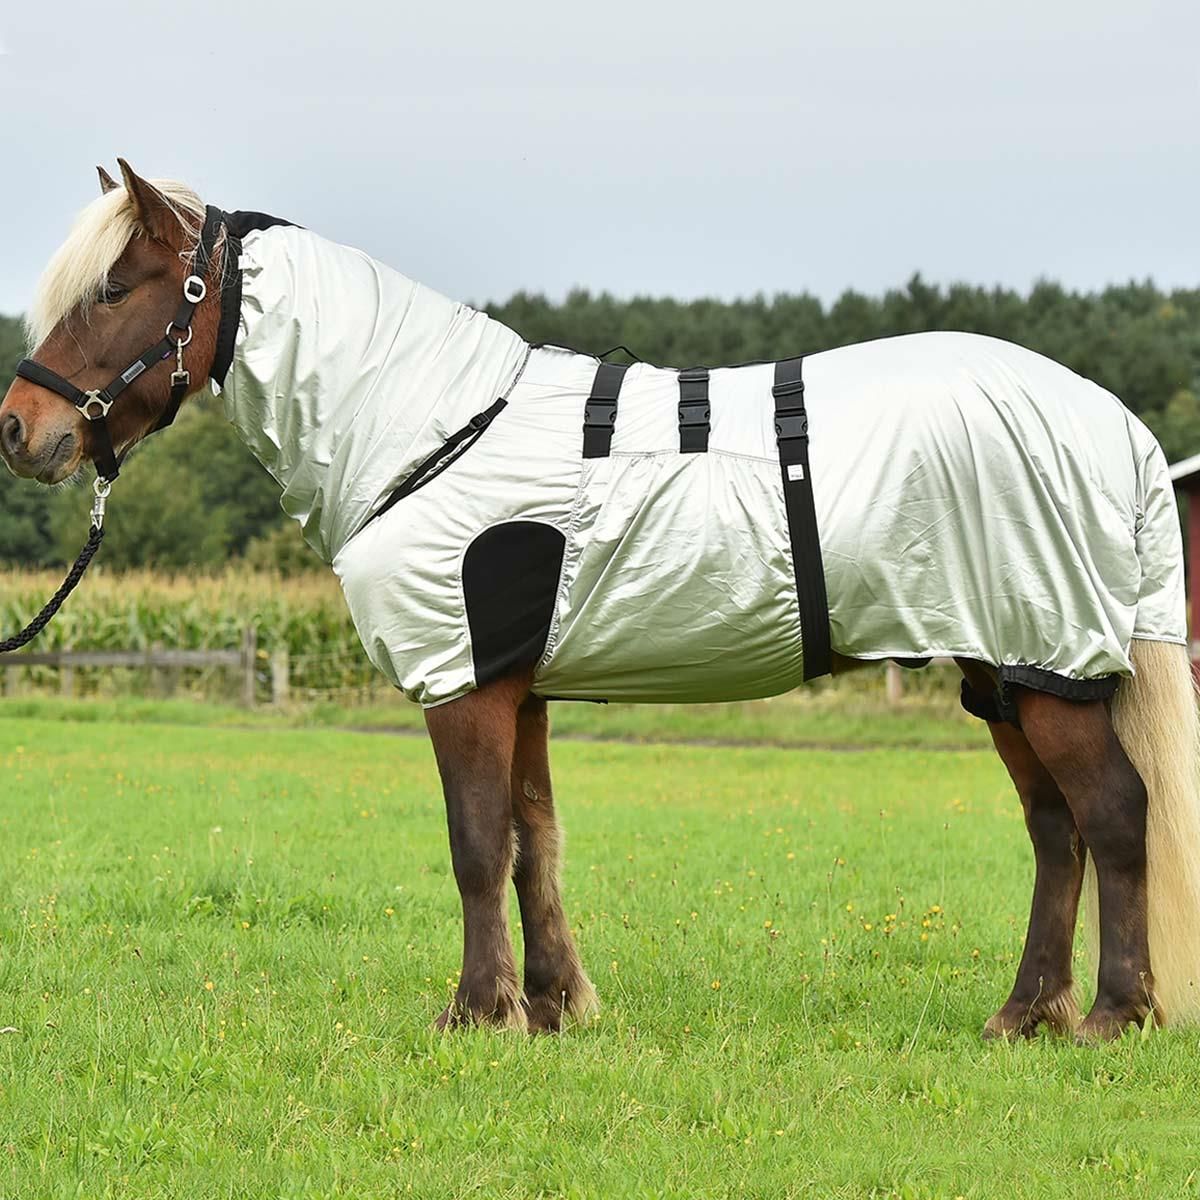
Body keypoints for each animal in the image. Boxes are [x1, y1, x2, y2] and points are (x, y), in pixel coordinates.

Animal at [3, 160, 1199, 1042]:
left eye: (114, 288)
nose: (22, 429)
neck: (427, 424)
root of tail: (1114, 423)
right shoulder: (519, 687)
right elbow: (533, 840)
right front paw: (550, 1006)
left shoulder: (462, 682)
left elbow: (475, 842)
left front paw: (474, 1014)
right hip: (1005, 672)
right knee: (1056, 830)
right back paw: (1024, 1015)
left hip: (1045, 666)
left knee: (1112, 814)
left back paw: (1111, 1016)